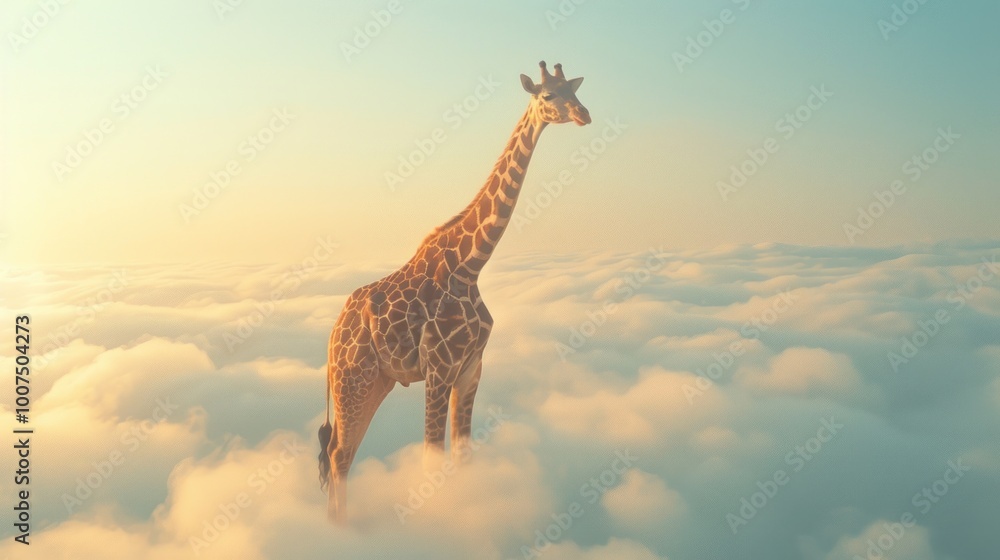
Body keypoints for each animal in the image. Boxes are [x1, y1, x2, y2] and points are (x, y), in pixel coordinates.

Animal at [318, 61, 591, 522]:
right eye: (547, 96)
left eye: (573, 90)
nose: (583, 114)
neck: (470, 264)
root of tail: (334, 334)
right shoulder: (439, 369)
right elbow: (432, 456)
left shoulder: (471, 368)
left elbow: (464, 457)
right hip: (352, 378)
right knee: (337, 455)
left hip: (376, 381)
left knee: (344, 453)